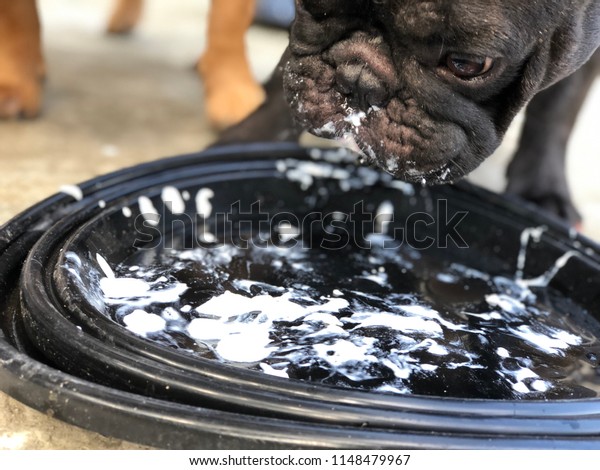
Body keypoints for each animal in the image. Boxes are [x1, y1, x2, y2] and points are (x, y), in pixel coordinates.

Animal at [221, 0, 600, 226]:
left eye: (467, 64)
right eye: (309, 4)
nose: (359, 80)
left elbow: (557, 109)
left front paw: (541, 192)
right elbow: (286, 69)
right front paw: (248, 143)